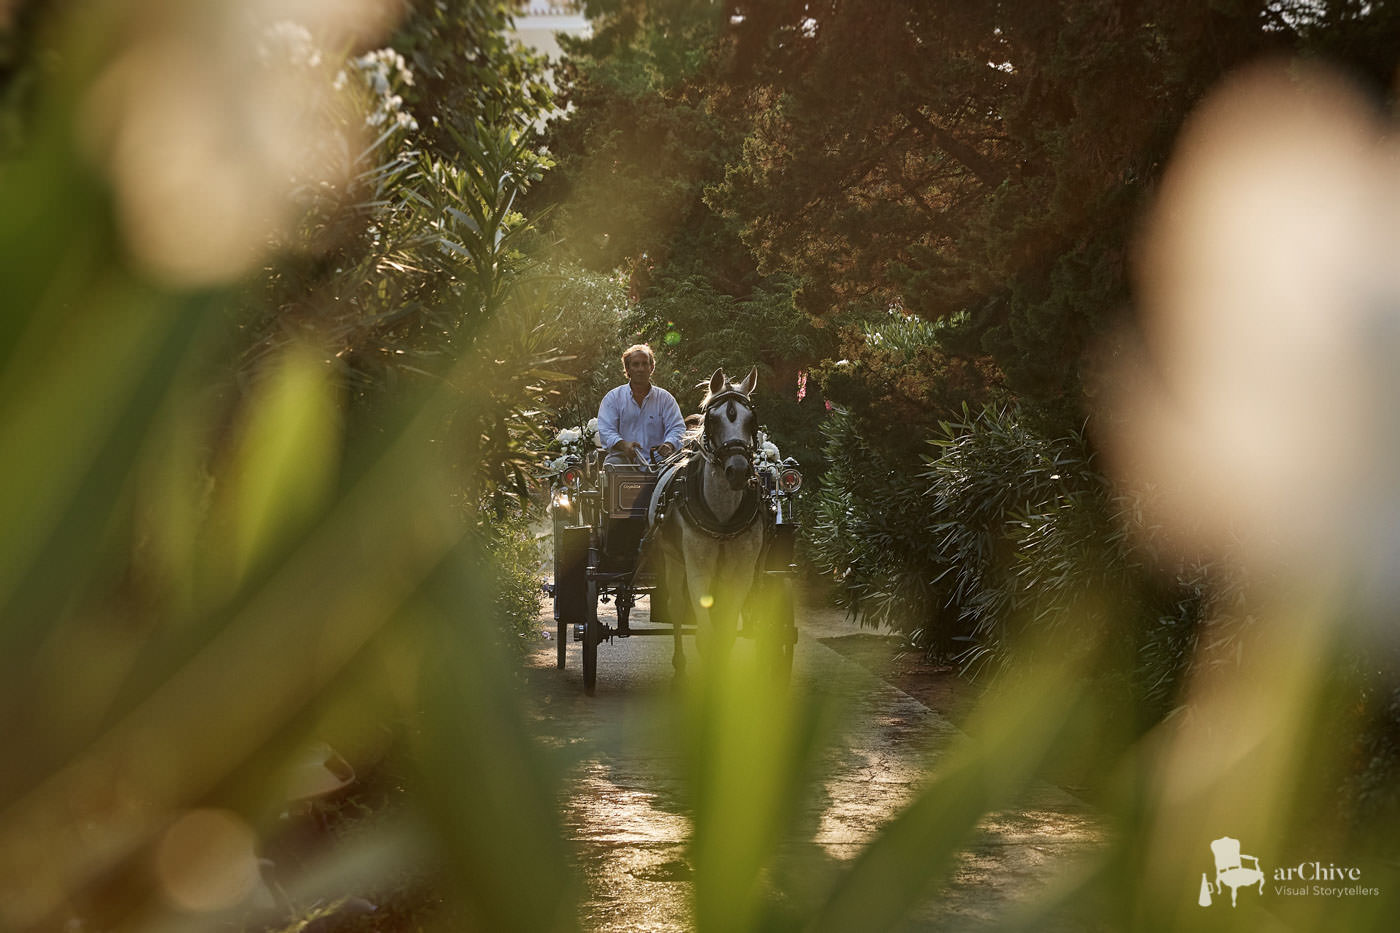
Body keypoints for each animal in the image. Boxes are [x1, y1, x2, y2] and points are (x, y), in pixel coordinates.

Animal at [646, 364, 767, 669]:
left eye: (751, 420)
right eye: (713, 420)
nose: (738, 471)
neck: (722, 520)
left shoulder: (742, 572)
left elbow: (726, 634)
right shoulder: (697, 568)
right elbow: (706, 637)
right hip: (673, 559)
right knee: (677, 606)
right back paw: (679, 662)